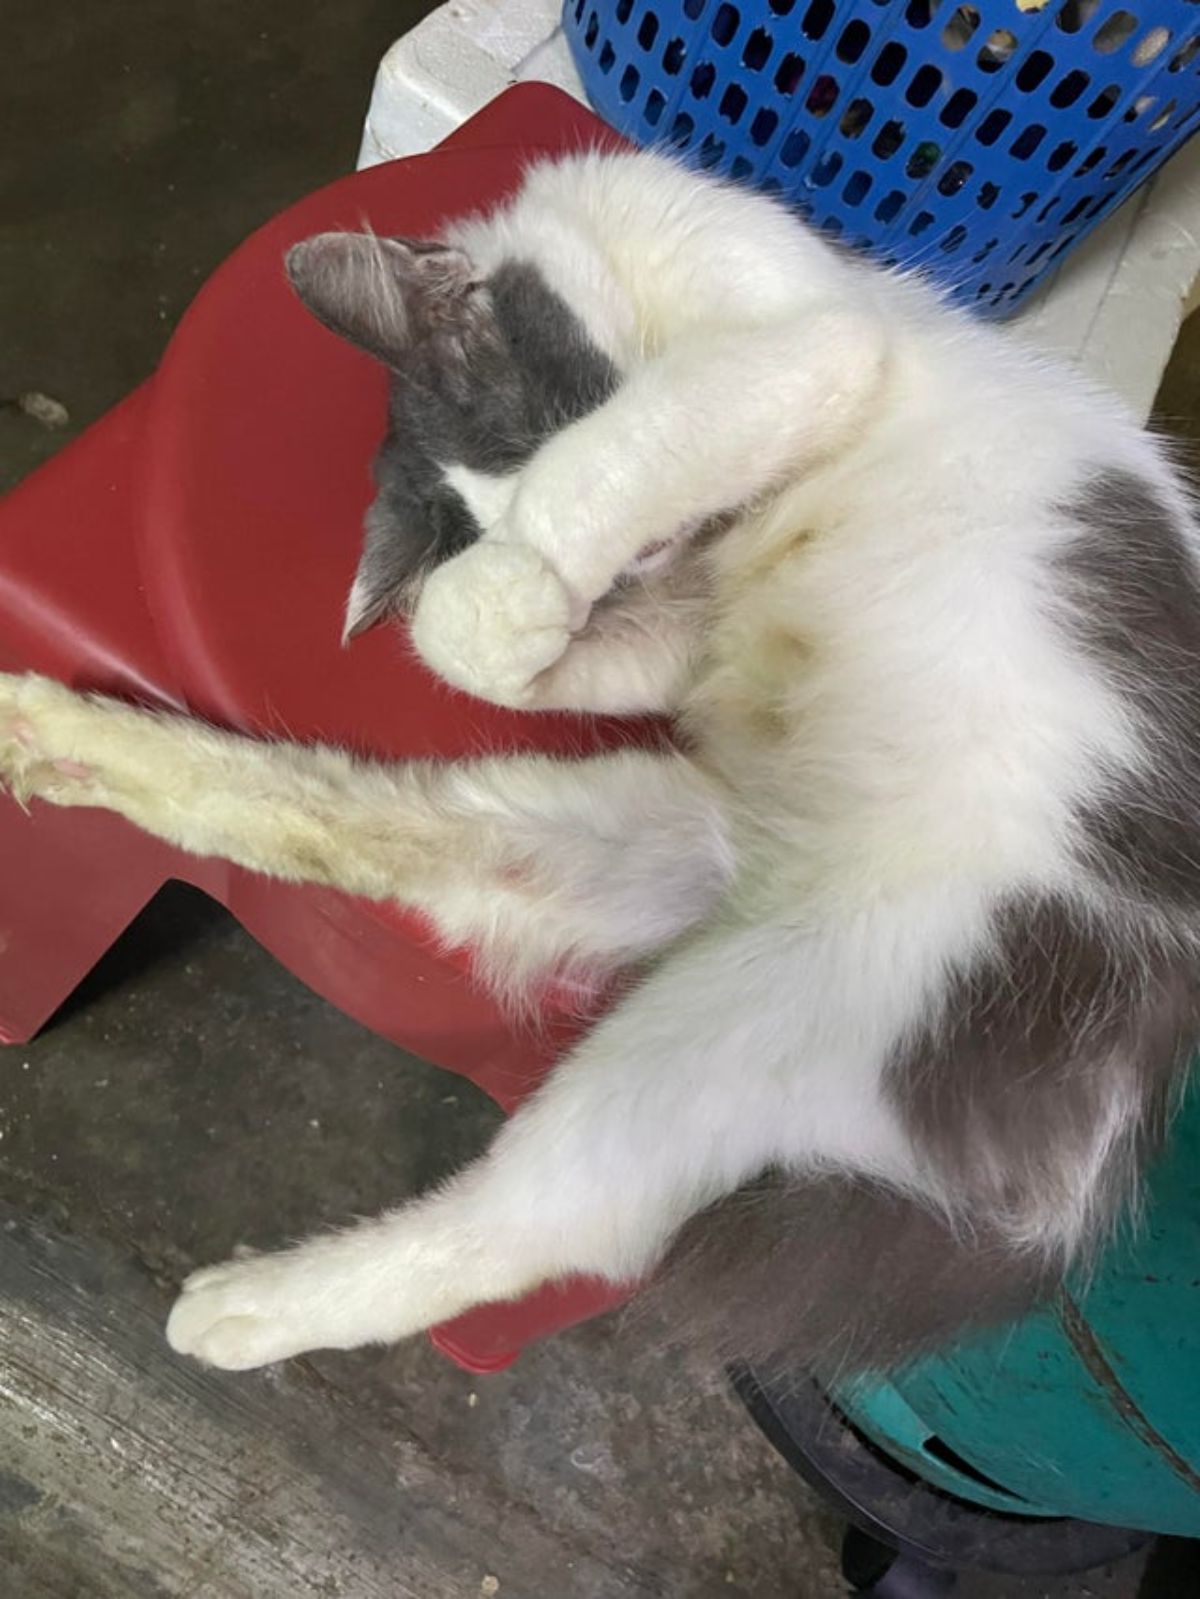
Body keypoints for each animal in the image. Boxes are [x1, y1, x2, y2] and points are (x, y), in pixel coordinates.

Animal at [2, 147, 1200, 1375]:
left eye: (549, 422)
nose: (644, 565)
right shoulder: (683, 628)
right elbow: (489, 645)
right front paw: (501, 611)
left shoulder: (807, 342)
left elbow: (615, 456)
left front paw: (514, 583)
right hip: (600, 864)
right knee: (345, 827)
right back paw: (59, 739)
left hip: (759, 1023)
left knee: (549, 1226)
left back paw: (241, 1307)